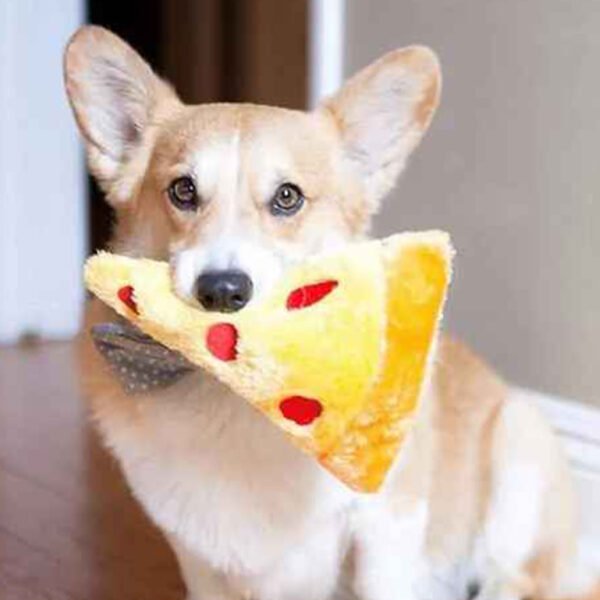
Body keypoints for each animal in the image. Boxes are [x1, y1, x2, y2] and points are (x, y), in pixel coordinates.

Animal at [64, 25, 596, 600]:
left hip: (516, 451)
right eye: (183, 191)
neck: (237, 394)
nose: (222, 290)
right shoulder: (198, 559)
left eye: (287, 197)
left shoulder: (385, 526)